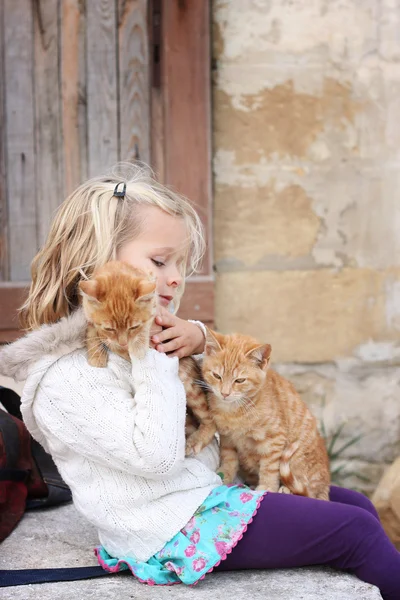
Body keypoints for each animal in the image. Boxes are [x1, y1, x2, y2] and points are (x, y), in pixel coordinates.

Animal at [79, 260, 216, 458]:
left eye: (133, 326)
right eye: (110, 328)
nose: (122, 342)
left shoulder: (154, 310)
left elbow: (144, 329)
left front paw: (135, 348)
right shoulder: (89, 317)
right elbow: (92, 331)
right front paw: (97, 355)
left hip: (190, 385)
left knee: (210, 419)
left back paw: (196, 440)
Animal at [202, 330, 330, 500]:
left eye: (240, 380)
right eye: (217, 376)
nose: (225, 393)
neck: (234, 410)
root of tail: (326, 488)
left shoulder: (275, 439)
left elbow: (269, 467)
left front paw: (267, 487)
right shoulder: (227, 437)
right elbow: (229, 458)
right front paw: (225, 475)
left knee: (307, 490)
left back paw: (287, 489)